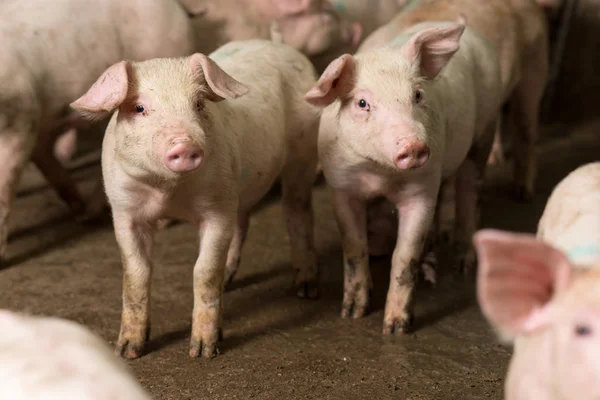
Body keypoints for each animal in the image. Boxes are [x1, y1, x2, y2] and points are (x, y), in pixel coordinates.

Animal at [70, 39, 322, 360]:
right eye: (139, 107)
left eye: (199, 104)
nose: (184, 145)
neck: (169, 192)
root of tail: (279, 44)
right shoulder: (124, 212)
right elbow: (136, 272)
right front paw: (127, 351)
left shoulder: (216, 210)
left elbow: (204, 271)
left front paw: (202, 351)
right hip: (239, 186)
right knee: (244, 220)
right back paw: (230, 278)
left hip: (303, 152)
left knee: (297, 210)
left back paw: (306, 289)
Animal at [304, 21, 502, 334]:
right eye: (362, 103)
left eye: (418, 95)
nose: (414, 146)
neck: (381, 174)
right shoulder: (342, 188)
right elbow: (354, 247)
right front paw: (351, 313)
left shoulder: (421, 190)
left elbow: (405, 254)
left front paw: (396, 328)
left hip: (486, 128)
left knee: (470, 191)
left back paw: (462, 266)